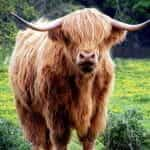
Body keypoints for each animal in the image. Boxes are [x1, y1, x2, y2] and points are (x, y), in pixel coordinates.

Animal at [9, 7, 150, 150]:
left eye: (102, 37)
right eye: (70, 36)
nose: (87, 56)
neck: (84, 83)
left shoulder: (96, 113)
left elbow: (88, 139)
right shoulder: (56, 113)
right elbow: (60, 140)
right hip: (28, 110)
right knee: (39, 140)